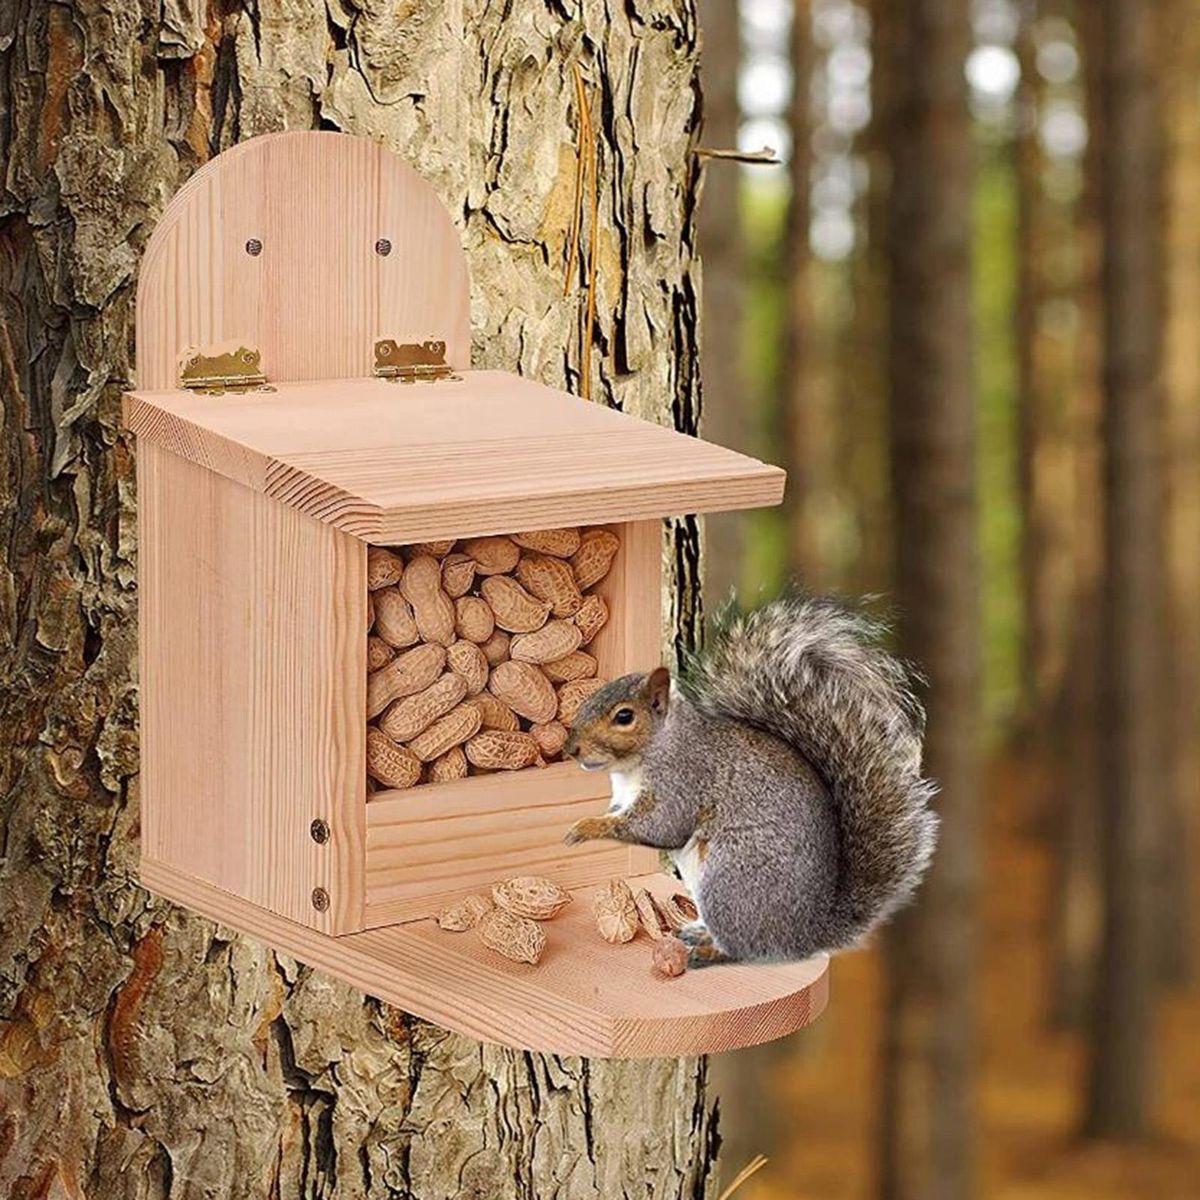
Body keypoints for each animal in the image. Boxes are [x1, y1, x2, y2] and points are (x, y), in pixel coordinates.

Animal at [562, 593, 939, 969]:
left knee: (745, 948)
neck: (639, 760)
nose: (571, 748)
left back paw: (708, 950)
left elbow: (661, 826)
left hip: (730, 879)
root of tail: (806, 934)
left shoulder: (682, 779)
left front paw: (586, 827)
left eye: (624, 716)